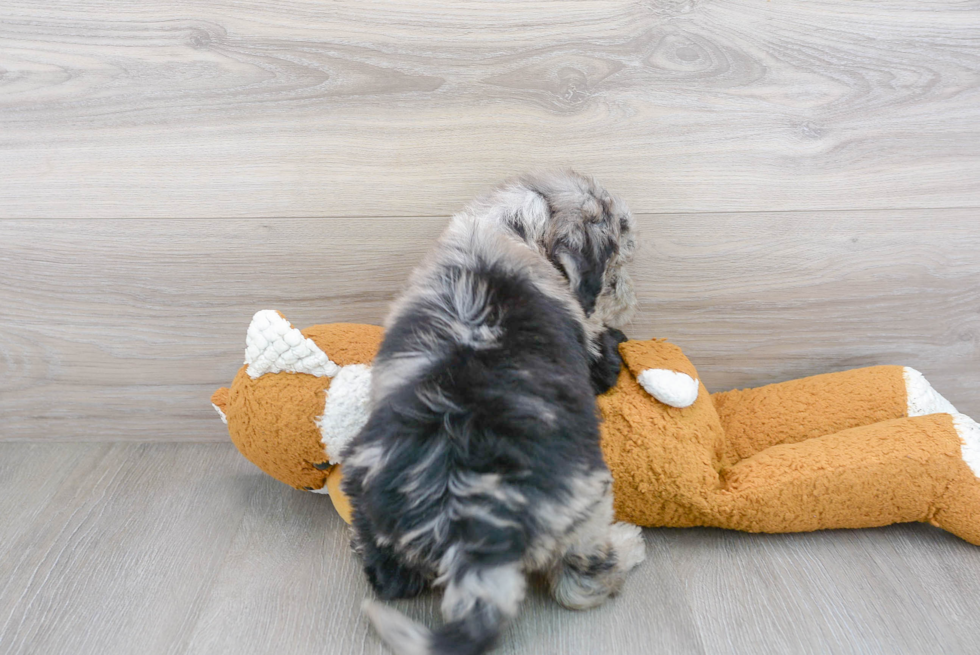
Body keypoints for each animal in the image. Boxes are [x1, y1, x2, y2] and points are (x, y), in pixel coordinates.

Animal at [342, 170, 644, 655]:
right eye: (615, 269)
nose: (630, 303)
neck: (509, 228)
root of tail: (471, 530)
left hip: (364, 483)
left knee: (390, 578)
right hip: (588, 498)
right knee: (580, 584)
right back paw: (629, 545)